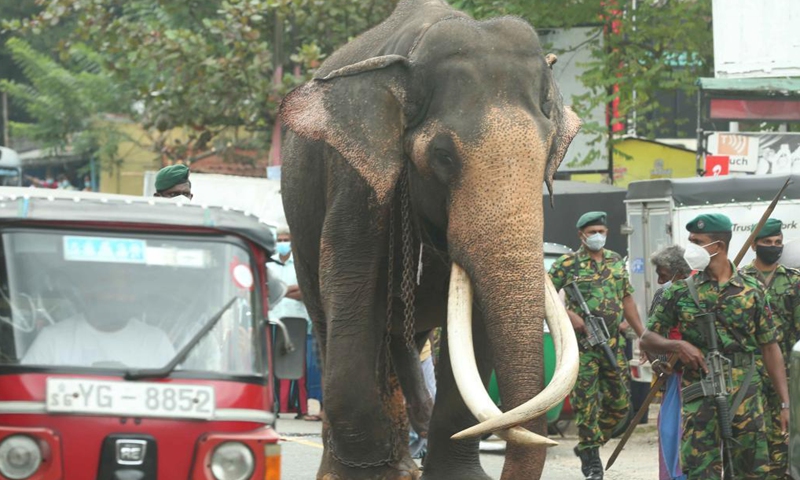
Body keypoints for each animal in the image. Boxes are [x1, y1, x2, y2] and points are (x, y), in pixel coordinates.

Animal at [279, 0, 581, 478]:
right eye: (442, 155)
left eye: (549, 151)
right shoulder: (356, 182)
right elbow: (351, 298)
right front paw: (366, 474)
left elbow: (474, 335)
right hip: (301, 238)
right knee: (330, 328)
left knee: (402, 341)